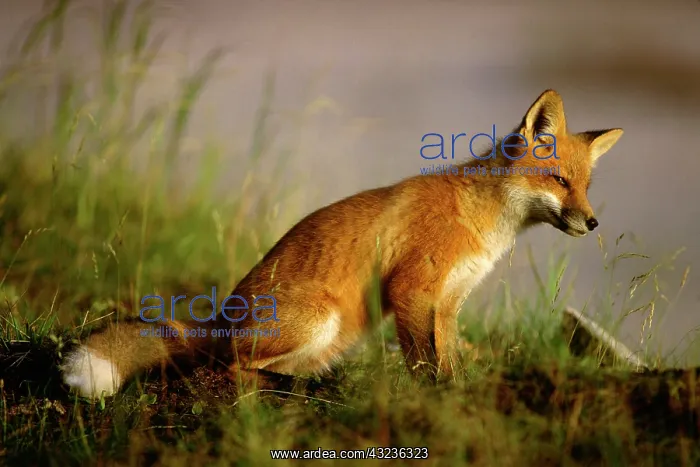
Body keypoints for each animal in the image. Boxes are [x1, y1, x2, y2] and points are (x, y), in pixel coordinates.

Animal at [61, 89, 623, 399]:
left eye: (587, 186)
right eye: (558, 181)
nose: (594, 222)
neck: (482, 221)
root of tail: (223, 317)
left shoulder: (447, 304)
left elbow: (449, 362)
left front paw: (458, 392)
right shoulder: (411, 290)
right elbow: (424, 365)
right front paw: (434, 401)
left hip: (335, 337)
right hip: (319, 319)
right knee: (232, 369)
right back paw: (283, 388)